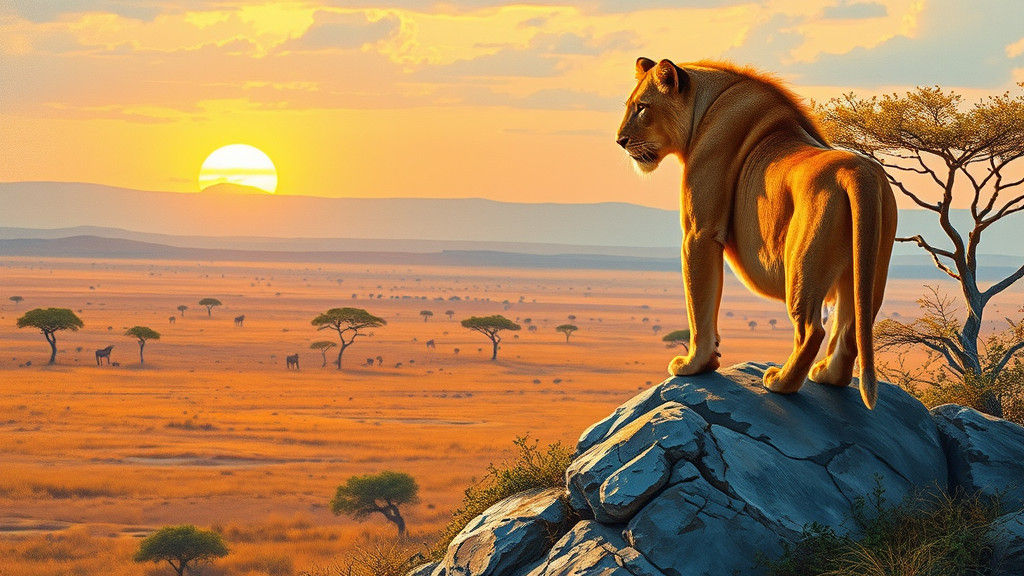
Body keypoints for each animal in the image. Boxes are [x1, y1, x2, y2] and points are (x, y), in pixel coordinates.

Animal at [616, 58, 897, 409]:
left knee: (812, 330)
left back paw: (779, 382)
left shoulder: (700, 231)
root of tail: (859, 172)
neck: (705, 105)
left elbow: (699, 302)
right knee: (851, 327)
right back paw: (827, 377)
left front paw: (695, 365)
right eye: (630, 105)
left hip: (802, 264)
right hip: (866, 269)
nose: (620, 140)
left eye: (642, 107)